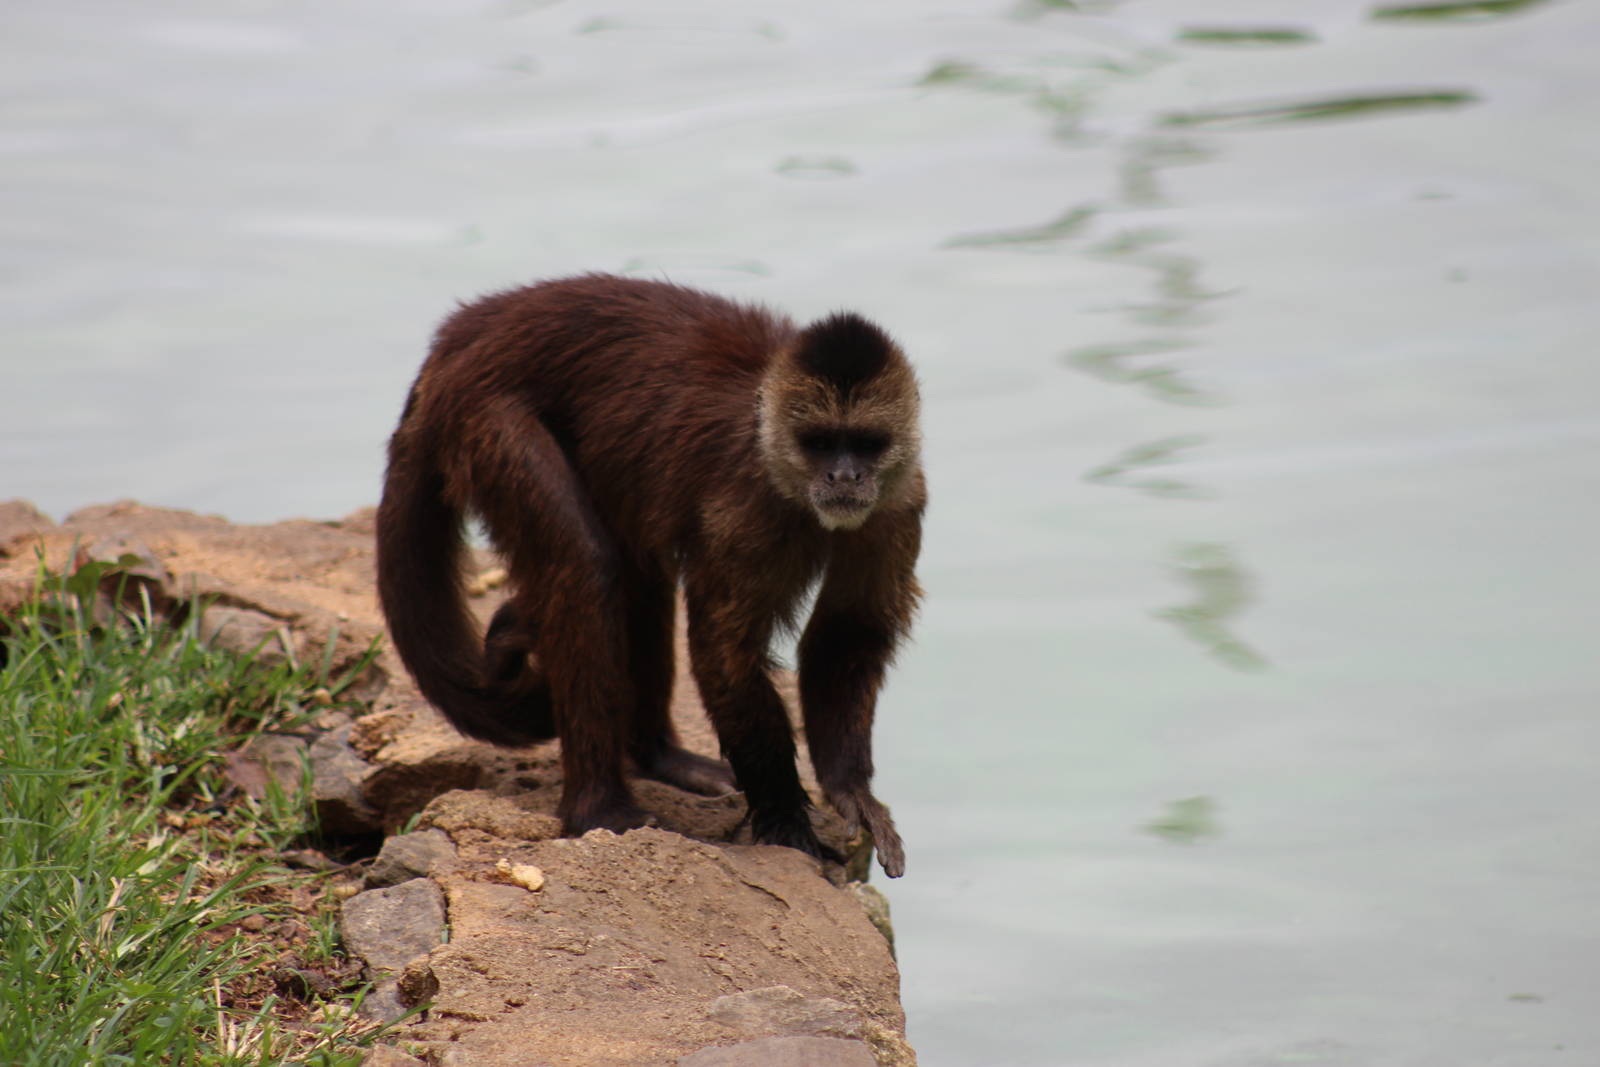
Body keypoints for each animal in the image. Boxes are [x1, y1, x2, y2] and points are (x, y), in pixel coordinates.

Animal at [375, 273, 923, 877]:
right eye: (821, 442)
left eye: (866, 443)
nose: (845, 476)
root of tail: (463, 330)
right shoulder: (744, 506)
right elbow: (724, 653)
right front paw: (785, 821)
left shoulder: (900, 501)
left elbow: (850, 631)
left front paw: (848, 789)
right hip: (486, 414)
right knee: (586, 567)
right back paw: (598, 807)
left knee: (638, 572)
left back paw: (657, 754)